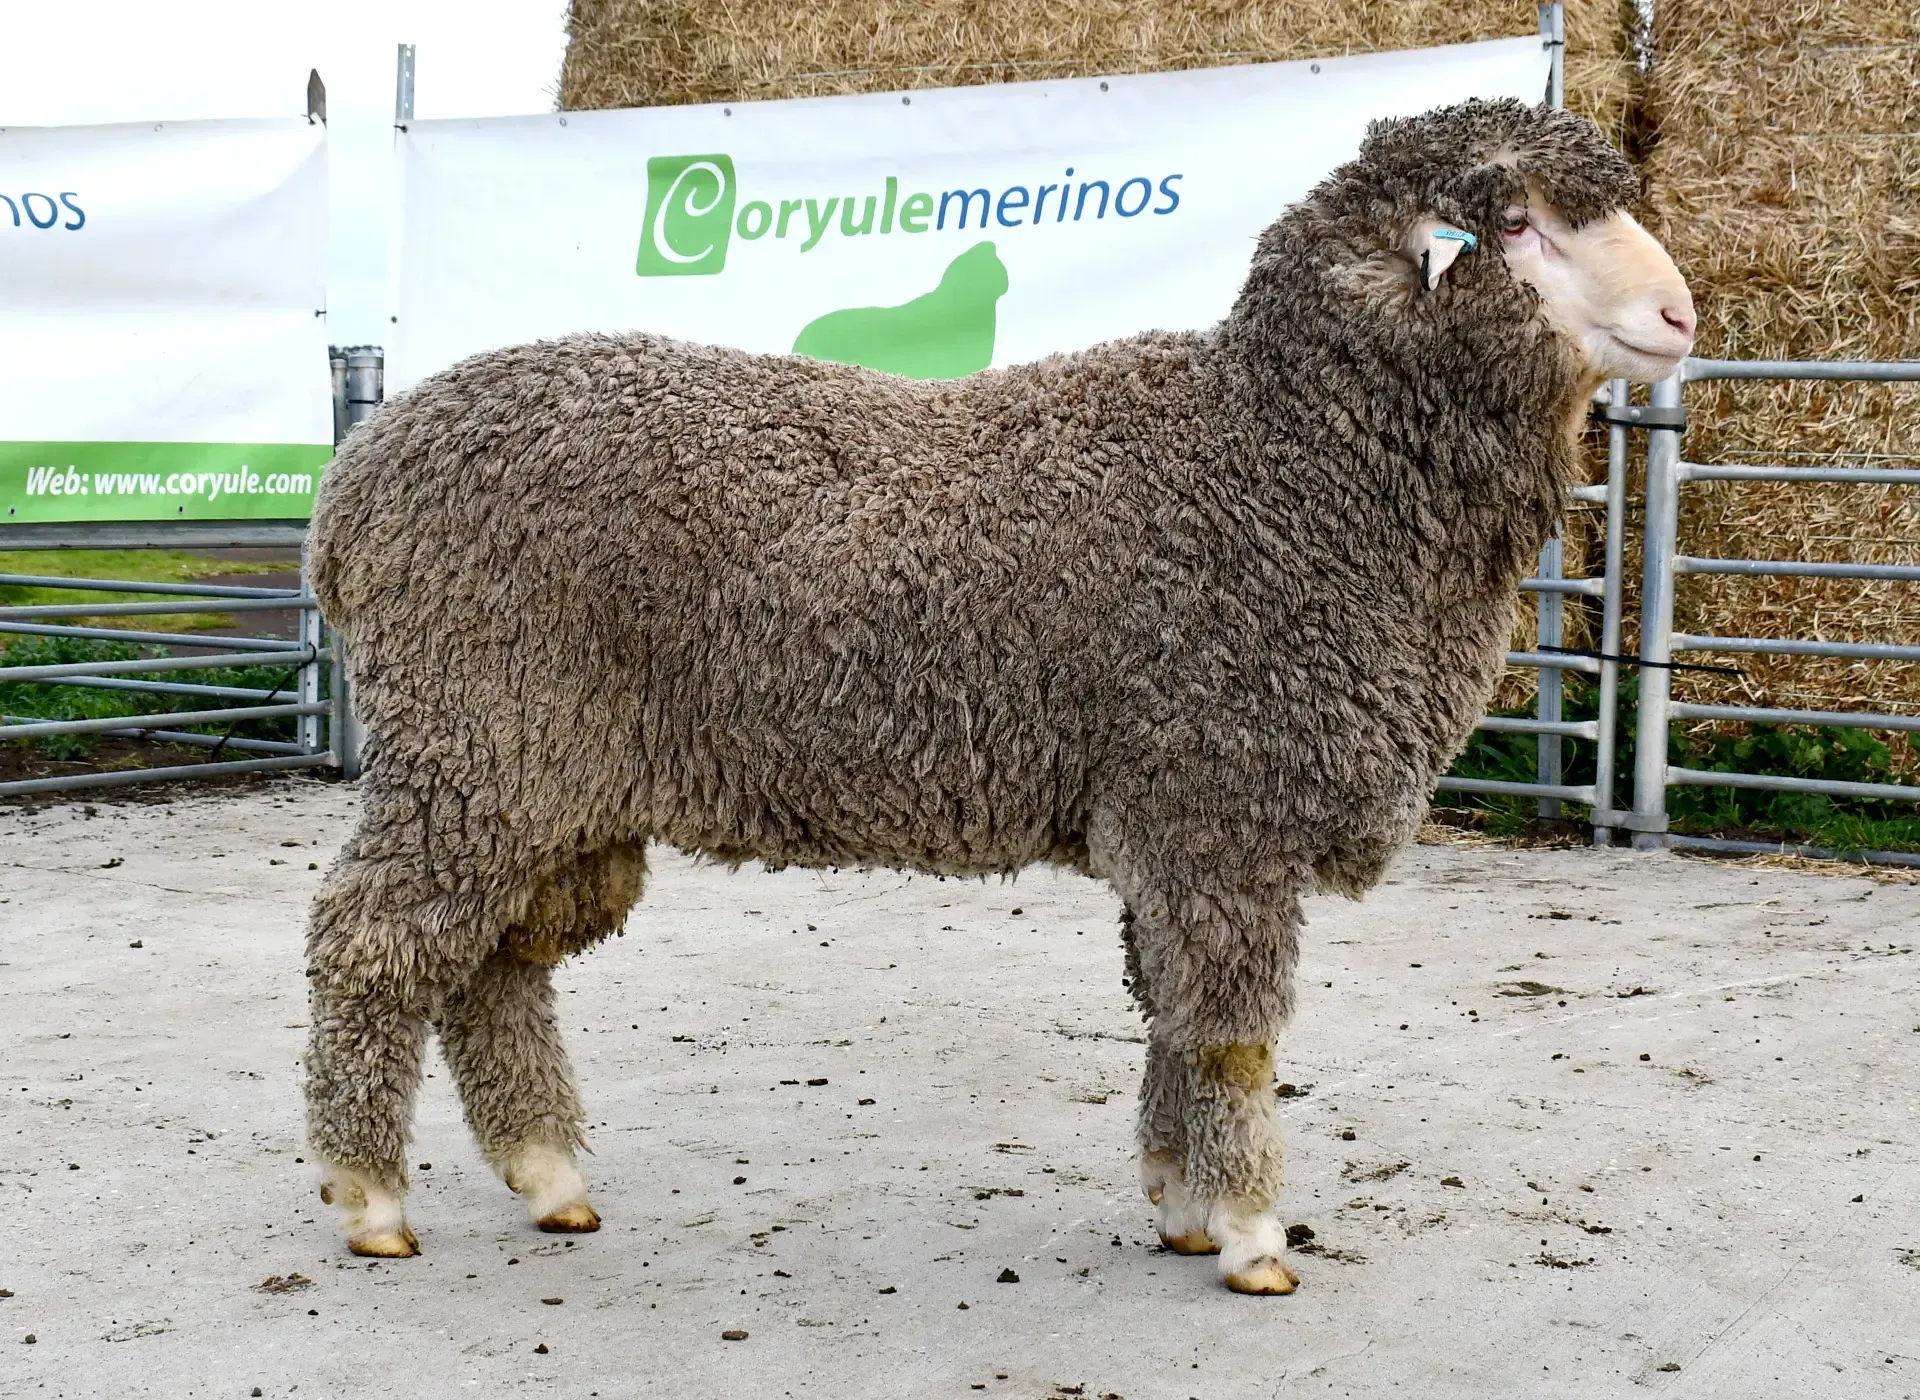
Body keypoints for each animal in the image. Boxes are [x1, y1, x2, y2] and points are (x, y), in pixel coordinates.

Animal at [303, 98, 1693, 1294]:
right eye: (1513, 222)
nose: (1680, 314)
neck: (1289, 463)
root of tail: (356, 479)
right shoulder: (1218, 803)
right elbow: (1231, 1035)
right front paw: (1252, 1234)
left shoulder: (1170, 822)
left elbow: (1168, 1020)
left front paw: (1180, 1203)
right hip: (475, 738)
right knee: (372, 943)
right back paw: (371, 1198)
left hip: (550, 783)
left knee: (493, 963)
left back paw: (547, 1176)